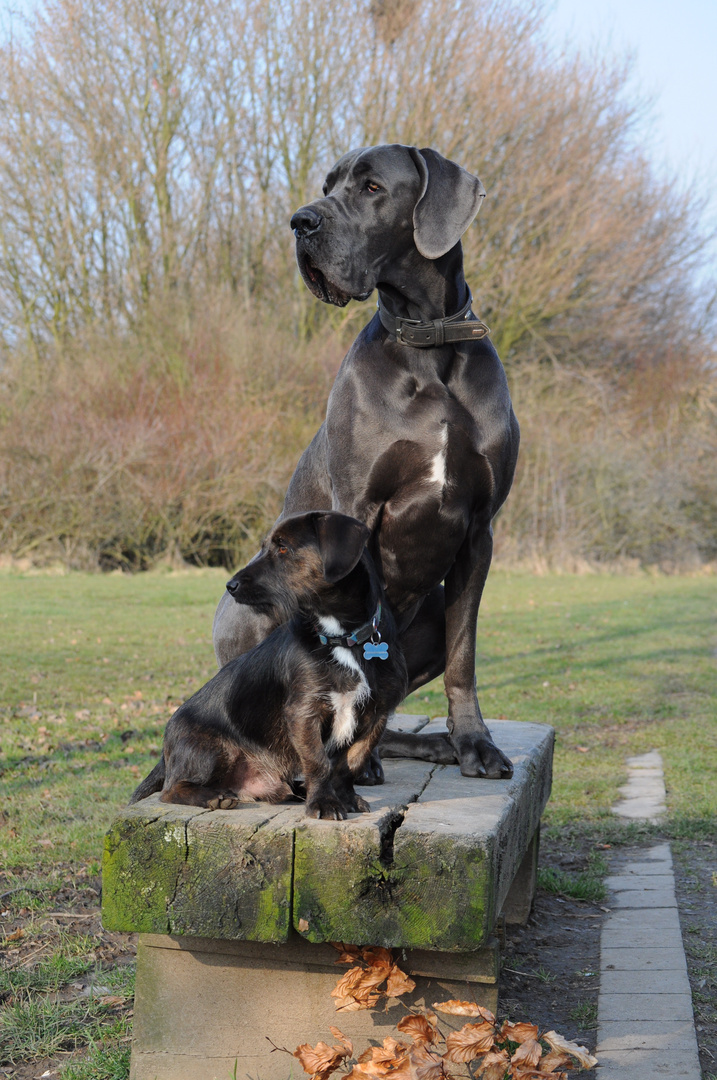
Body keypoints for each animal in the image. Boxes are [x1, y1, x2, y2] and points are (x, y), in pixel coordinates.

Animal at [131, 511, 406, 816]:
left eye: (283, 548)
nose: (230, 585)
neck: (341, 638)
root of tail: (165, 750)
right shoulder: (304, 713)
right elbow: (318, 762)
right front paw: (324, 803)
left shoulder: (375, 715)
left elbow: (350, 764)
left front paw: (344, 798)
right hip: (213, 749)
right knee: (170, 790)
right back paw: (213, 797)